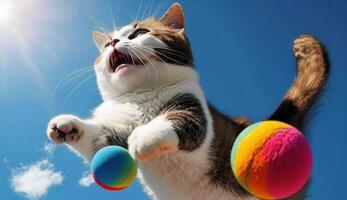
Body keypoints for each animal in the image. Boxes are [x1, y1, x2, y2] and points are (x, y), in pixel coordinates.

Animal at [46, 3, 328, 200]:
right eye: (106, 45)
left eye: (139, 32)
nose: (114, 41)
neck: (140, 96)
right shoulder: (116, 132)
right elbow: (98, 141)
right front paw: (67, 126)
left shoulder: (191, 107)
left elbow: (181, 122)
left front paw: (144, 136)